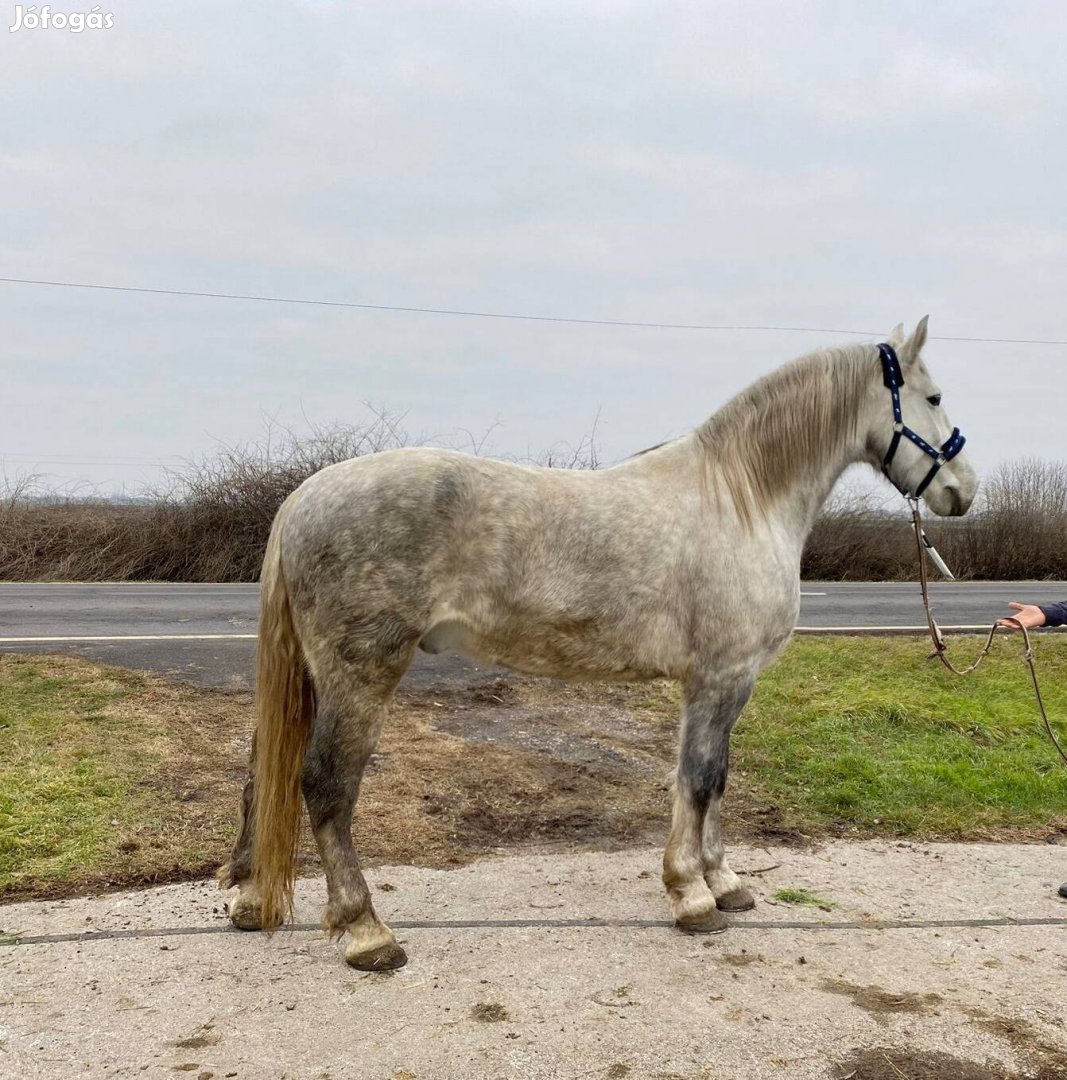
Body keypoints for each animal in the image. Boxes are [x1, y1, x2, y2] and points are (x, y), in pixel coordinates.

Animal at [221, 315, 980, 972]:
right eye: (934, 397)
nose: (963, 491)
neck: (742, 501)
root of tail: (305, 496)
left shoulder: (719, 683)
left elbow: (712, 778)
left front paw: (723, 880)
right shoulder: (723, 676)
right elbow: (699, 778)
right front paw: (693, 894)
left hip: (315, 674)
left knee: (264, 767)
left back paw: (251, 900)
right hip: (361, 673)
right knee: (324, 783)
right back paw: (366, 932)